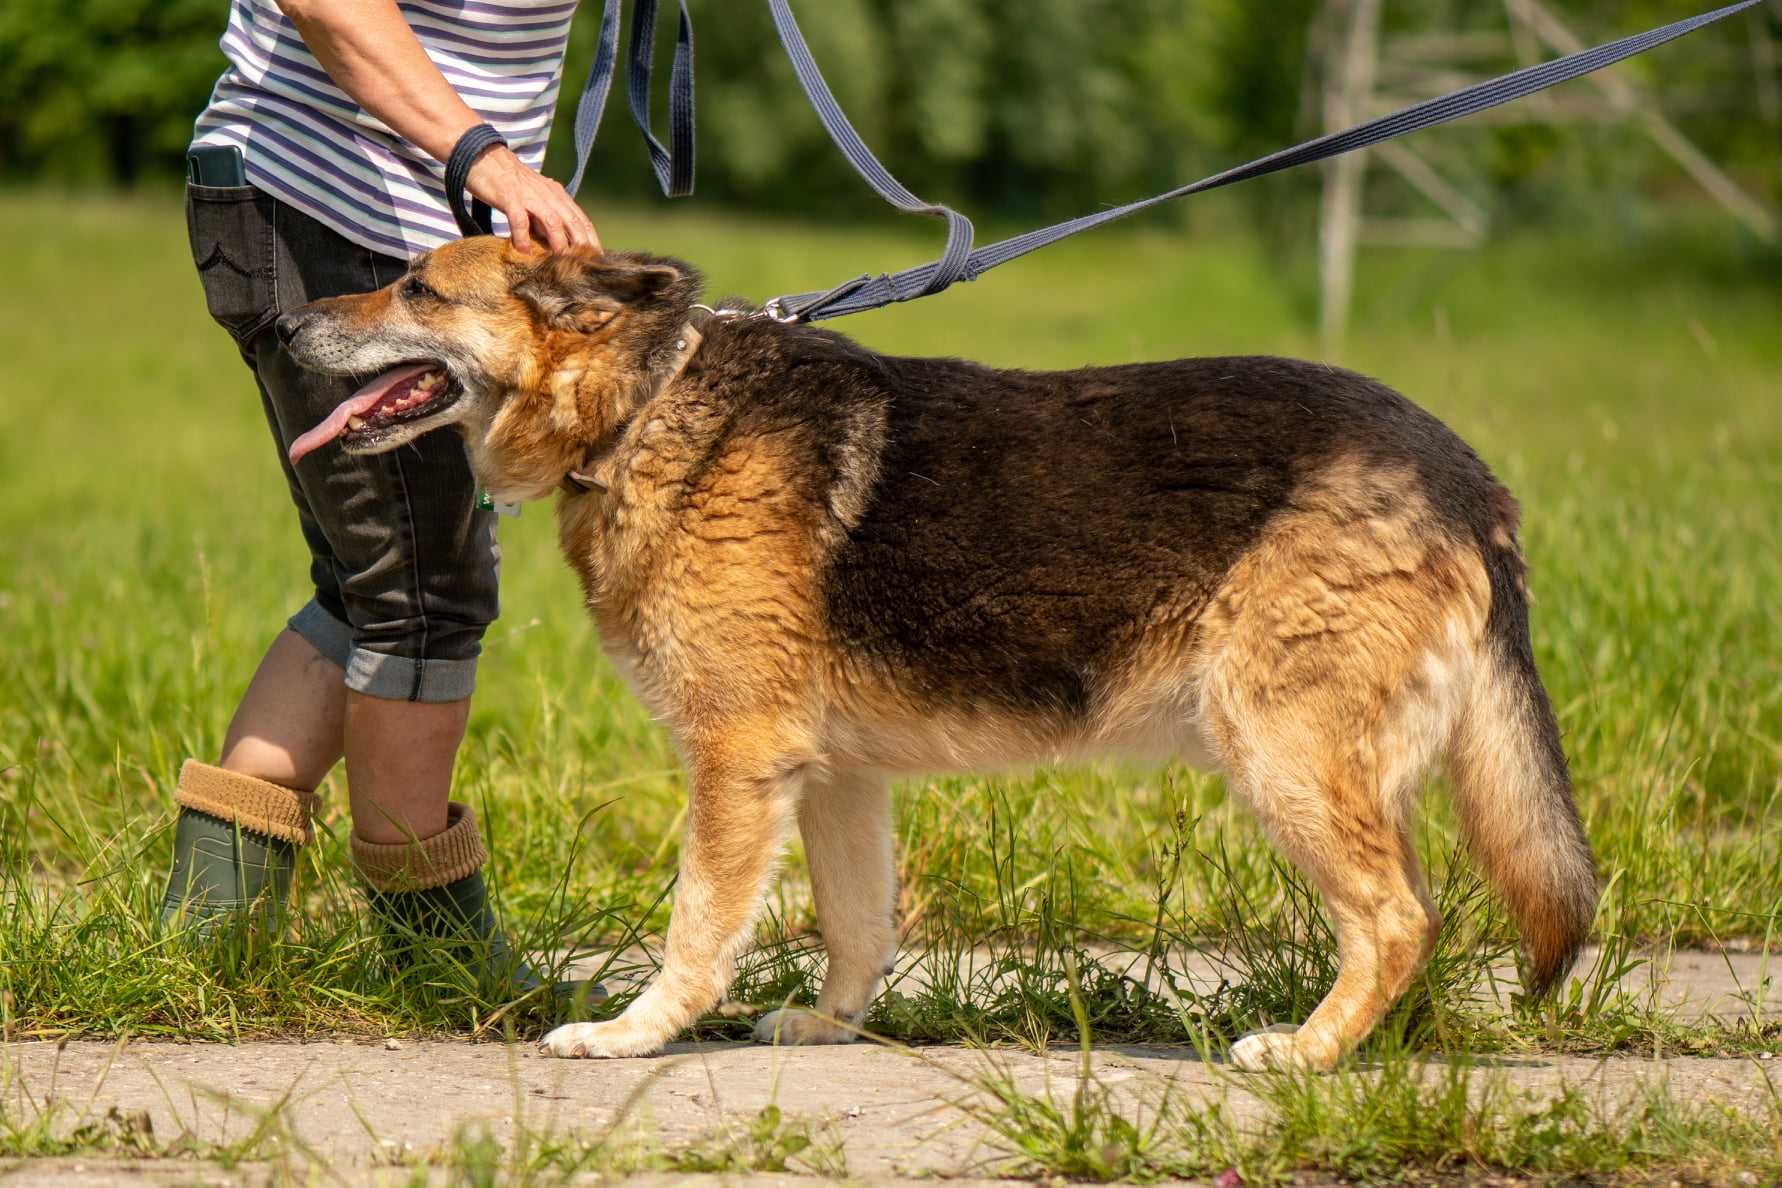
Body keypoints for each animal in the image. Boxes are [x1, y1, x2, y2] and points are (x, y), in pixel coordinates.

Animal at [281, 236, 1603, 1075]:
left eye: (417, 287)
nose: (286, 323)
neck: (646, 408)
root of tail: (1465, 478)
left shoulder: (737, 763)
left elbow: (699, 926)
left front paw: (633, 1036)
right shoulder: (832, 778)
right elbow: (859, 924)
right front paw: (831, 1029)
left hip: (1281, 750)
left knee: (1394, 918)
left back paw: (1311, 1054)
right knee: (1409, 916)